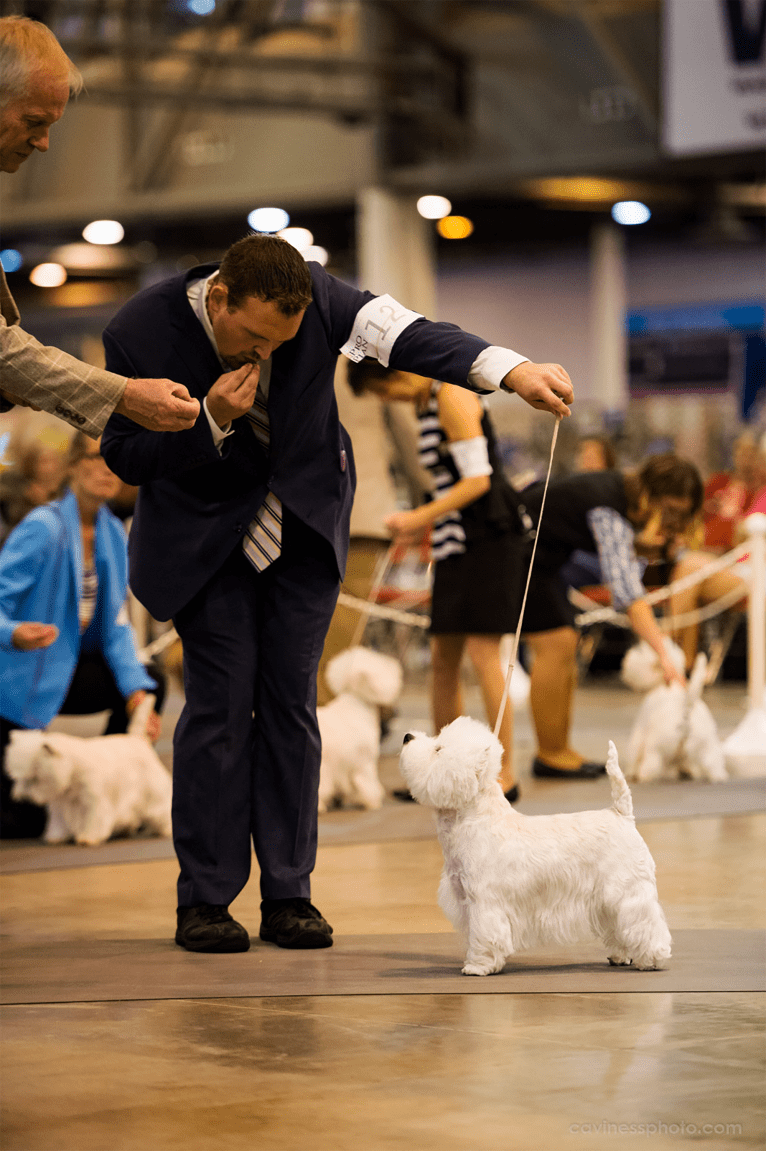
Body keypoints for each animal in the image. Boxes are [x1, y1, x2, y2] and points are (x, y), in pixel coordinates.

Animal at [4, 690, 171, 847]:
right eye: (18, 778)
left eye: (35, 778)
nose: (23, 798)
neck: (72, 769)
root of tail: (138, 739)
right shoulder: (59, 804)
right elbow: (59, 822)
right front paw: (56, 837)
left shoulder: (93, 801)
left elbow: (93, 820)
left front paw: (87, 838)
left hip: (154, 793)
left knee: (162, 810)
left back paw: (166, 830)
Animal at [395, 718, 671, 971]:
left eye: (438, 748)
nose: (407, 736)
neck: (474, 818)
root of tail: (621, 814)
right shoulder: (464, 898)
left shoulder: (484, 901)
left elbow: (484, 934)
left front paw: (477, 966)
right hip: (607, 899)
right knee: (619, 926)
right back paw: (620, 957)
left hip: (627, 889)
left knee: (645, 922)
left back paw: (652, 959)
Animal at [621, 639, 722, 782]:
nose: (625, 666)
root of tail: (685, 707)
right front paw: (687, 770)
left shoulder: (639, 732)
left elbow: (633, 755)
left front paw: (630, 773)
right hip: (707, 746)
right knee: (714, 765)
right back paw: (716, 777)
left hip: (655, 749)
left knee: (650, 767)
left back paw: (641, 776)